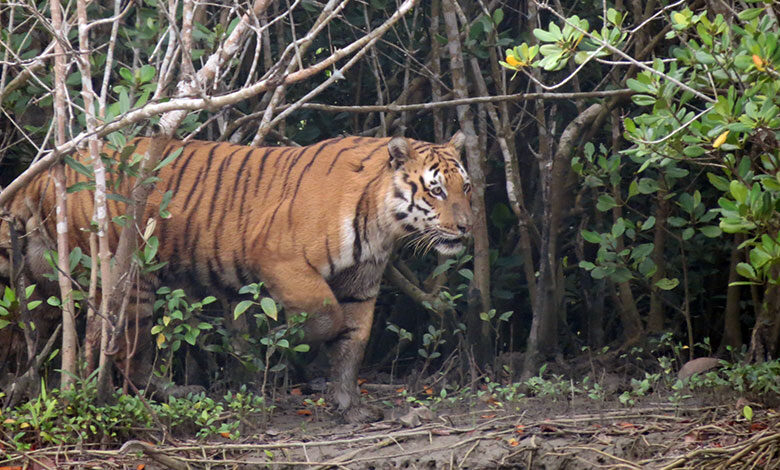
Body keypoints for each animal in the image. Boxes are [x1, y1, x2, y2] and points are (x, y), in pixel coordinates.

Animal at [0, 131, 472, 422]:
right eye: (435, 190)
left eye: (465, 187)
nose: (467, 227)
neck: (383, 224)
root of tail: (45, 173)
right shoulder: (280, 258)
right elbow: (326, 317)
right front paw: (291, 345)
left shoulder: (361, 286)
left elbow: (351, 345)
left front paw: (350, 406)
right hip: (131, 275)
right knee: (124, 351)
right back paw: (175, 394)